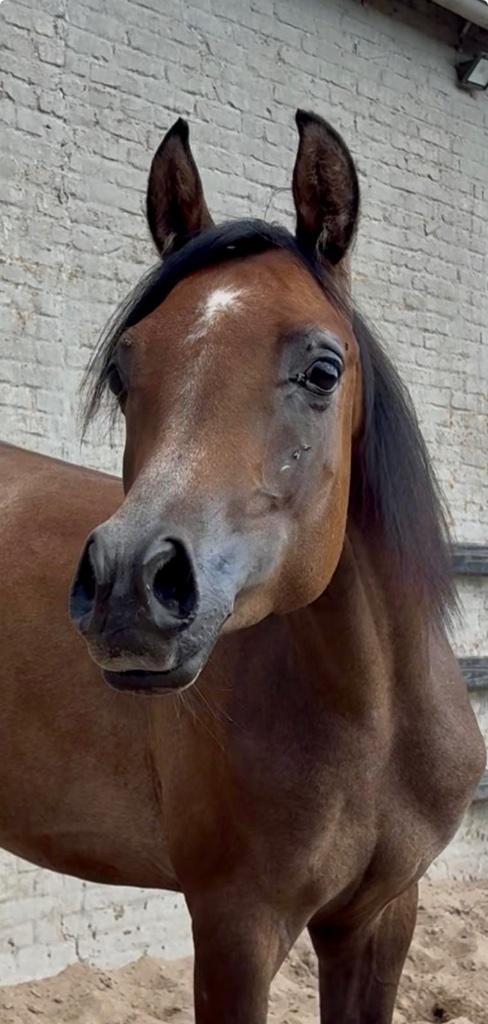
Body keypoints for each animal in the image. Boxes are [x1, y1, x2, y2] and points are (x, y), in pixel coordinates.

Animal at [0, 109, 484, 1023]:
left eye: (323, 370)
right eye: (122, 372)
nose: (129, 590)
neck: (373, 720)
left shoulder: (382, 917)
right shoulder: (237, 928)